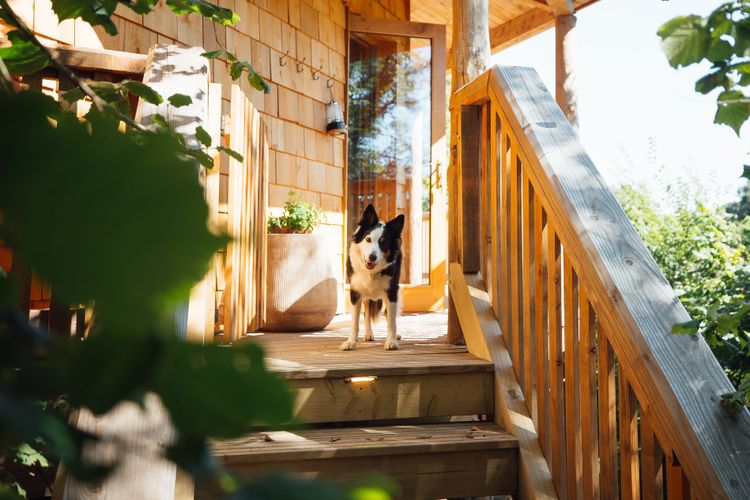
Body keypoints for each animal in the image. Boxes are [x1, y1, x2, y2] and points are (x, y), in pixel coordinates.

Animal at [344, 204, 408, 352]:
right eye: (368, 239)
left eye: (383, 243)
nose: (371, 257)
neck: (371, 272)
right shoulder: (355, 292)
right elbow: (355, 322)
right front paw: (351, 342)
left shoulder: (391, 292)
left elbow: (391, 321)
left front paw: (391, 341)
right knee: (367, 314)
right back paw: (368, 334)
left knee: (388, 314)